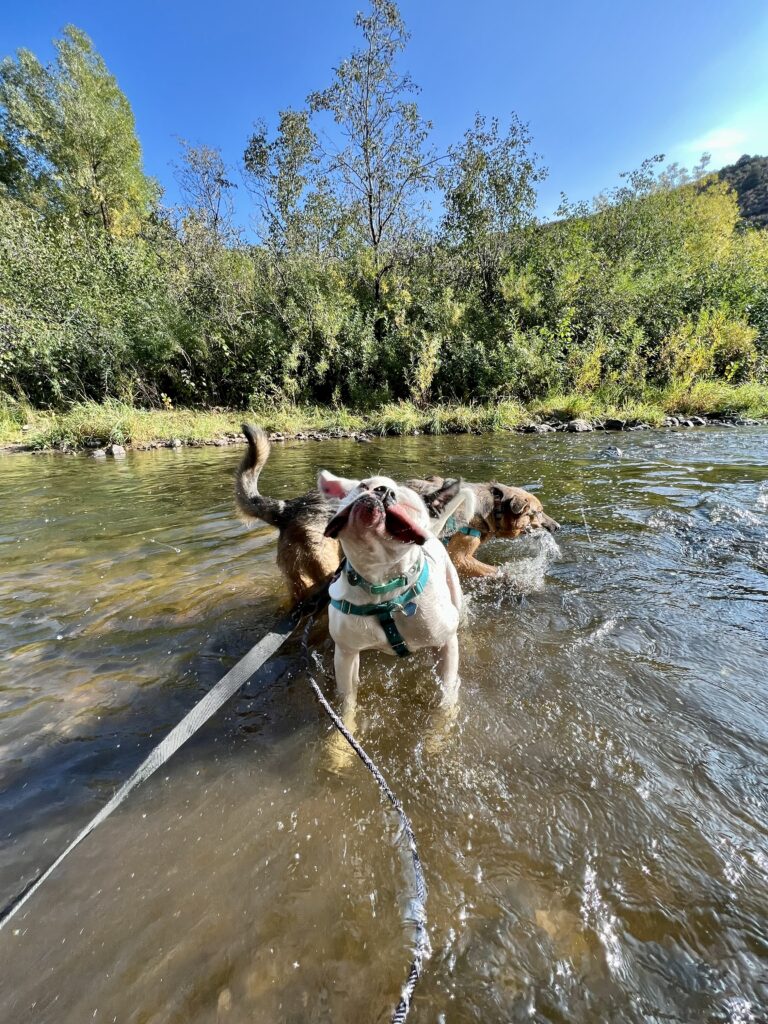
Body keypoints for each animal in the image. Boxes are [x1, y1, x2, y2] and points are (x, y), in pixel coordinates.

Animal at [315, 468, 466, 724]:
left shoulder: (446, 643)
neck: (382, 586)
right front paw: (341, 733)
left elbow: (445, 695)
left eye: (410, 506)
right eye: (364, 485)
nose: (384, 491)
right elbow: (347, 702)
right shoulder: (346, 653)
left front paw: (441, 727)